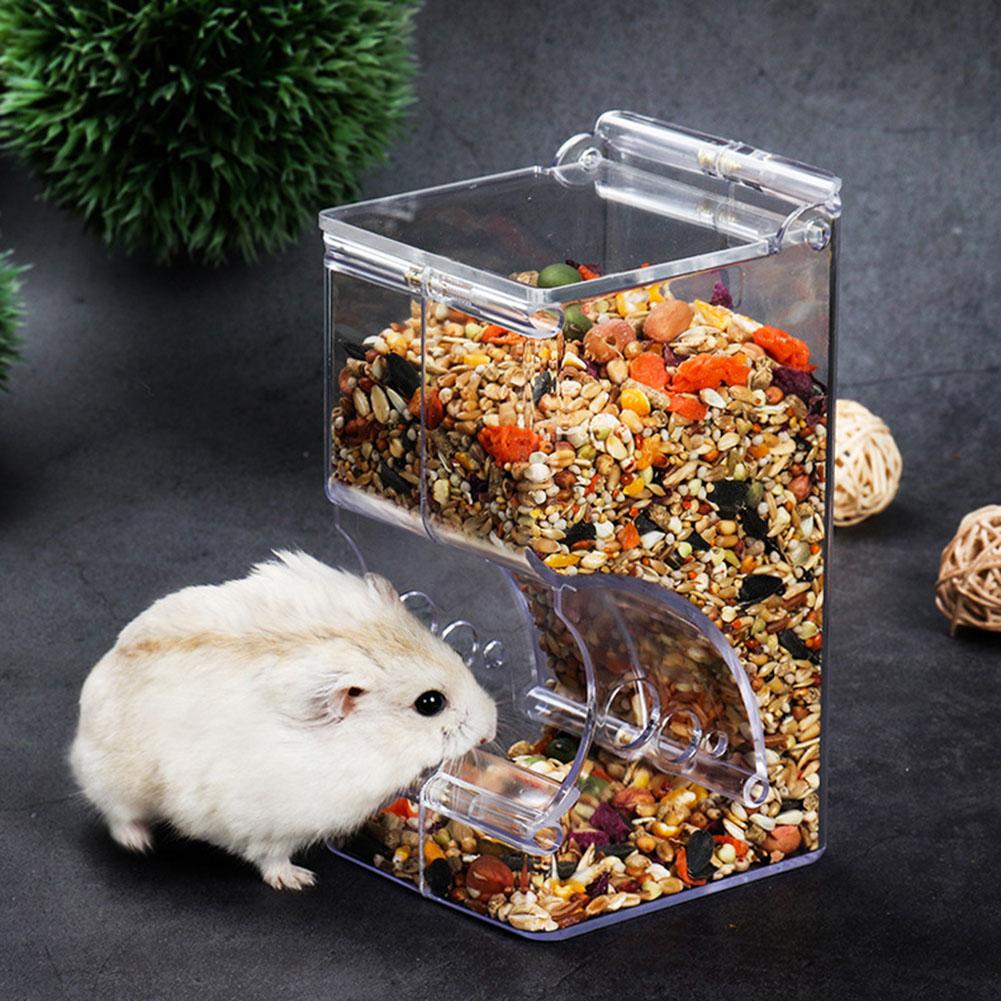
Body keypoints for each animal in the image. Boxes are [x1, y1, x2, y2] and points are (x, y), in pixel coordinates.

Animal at [69, 551, 497, 890]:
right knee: (116, 813)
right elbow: (270, 857)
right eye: (430, 703)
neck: (371, 745)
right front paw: (299, 881)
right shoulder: (270, 823)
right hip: (115, 781)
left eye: (458, 655)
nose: (490, 729)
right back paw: (138, 843)